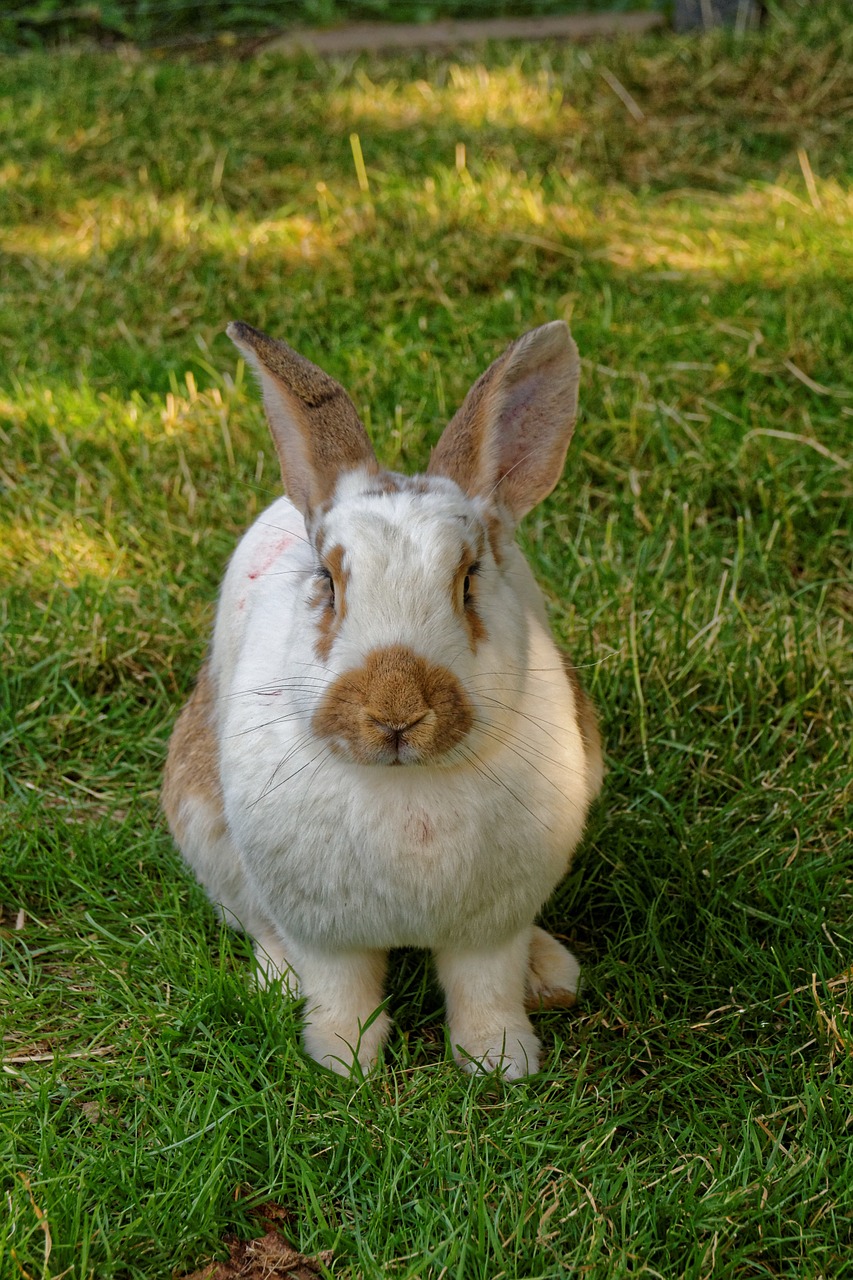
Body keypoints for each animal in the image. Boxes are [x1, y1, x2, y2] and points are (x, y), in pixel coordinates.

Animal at [162, 314, 601, 1075]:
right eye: (328, 581)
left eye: (467, 580)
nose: (396, 712)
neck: (406, 787)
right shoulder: (324, 931)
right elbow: (343, 990)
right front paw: (344, 1063)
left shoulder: (490, 929)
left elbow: (484, 990)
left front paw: (501, 1063)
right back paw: (275, 982)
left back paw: (549, 975)